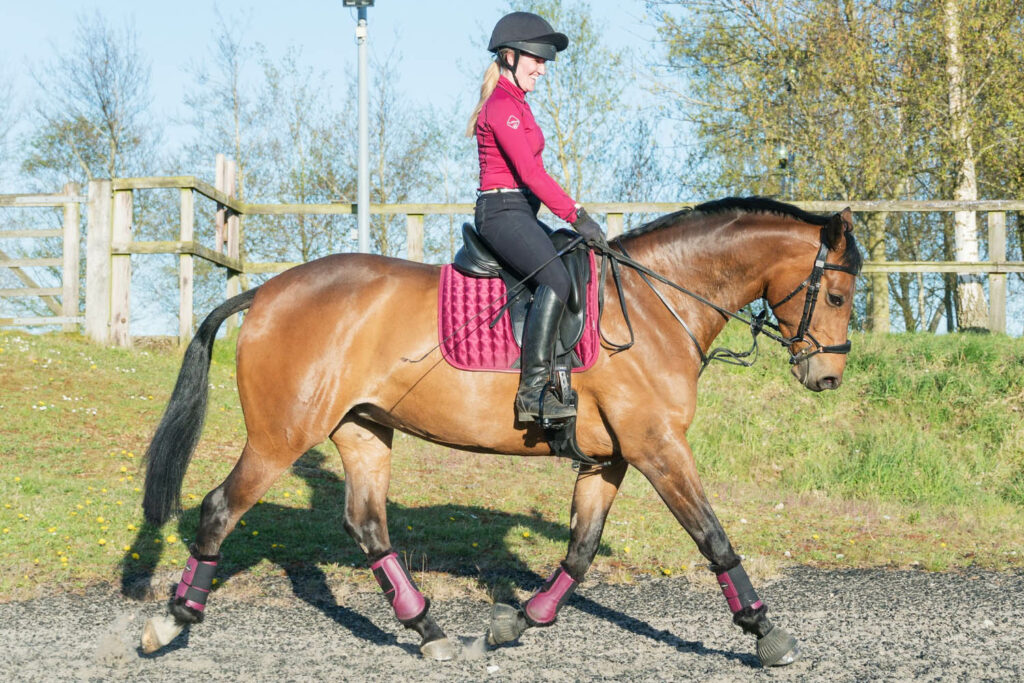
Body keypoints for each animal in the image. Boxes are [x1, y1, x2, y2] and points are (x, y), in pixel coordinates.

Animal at [142, 197, 864, 667]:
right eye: (836, 296)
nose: (827, 375)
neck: (656, 304)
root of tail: (264, 294)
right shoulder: (658, 446)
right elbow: (712, 534)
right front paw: (765, 630)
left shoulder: (609, 459)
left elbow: (580, 548)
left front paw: (517, 623)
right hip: (281, 435)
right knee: (219, 508)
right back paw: (168, 622)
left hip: (361, 429)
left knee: (368, 525)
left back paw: (430, 630)